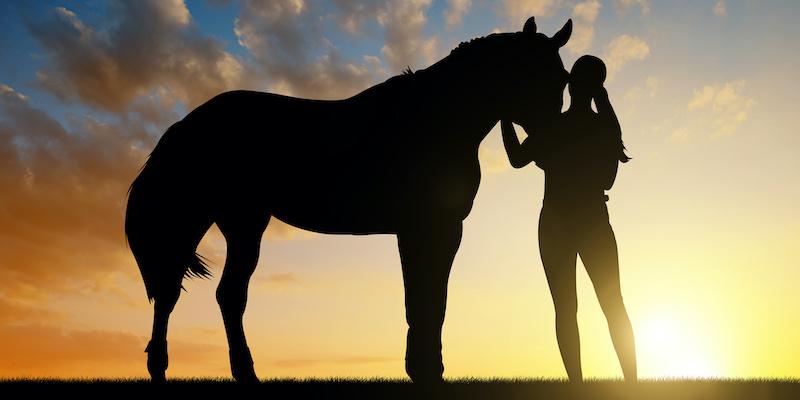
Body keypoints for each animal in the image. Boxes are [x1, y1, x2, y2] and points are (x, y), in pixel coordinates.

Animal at [125, 16, 572, 383]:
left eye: (564, 80)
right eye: (532, 77)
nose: (552, 144)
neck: (434, 120)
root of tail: (188, 124)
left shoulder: (434, 230)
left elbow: (431, 298)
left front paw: (425, 368)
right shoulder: (428, 228)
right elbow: (423, 298)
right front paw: (427, 370)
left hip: (235, 223)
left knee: (211, 294)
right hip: (219, 222)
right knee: (188, 292)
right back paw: (188, 369)